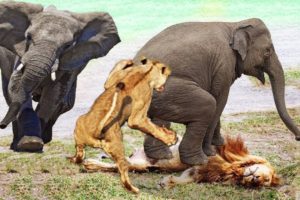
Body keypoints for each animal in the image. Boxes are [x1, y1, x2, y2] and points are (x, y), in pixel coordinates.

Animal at [0, 1, 119, 152]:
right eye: (28, 37)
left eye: (67, 45)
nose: (1, 125)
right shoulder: (20, 54)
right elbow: (15, 87)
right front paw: (29, 144)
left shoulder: (72, 60)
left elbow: (53, 95)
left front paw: (34, 143)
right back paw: (16, 143)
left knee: (65, 103)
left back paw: (45, 138)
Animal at [68, 57, 176, 193]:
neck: (147, 71)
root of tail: (96, 134)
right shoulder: (137, 118)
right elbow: (153, 129)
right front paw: (171, 138)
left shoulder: (110, 82)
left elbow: (117, 68)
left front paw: (128, 62)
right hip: (119, 149)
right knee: (124, 173)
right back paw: (134, 190)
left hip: (79, 128)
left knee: (79, 154)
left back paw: (72, 159)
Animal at [83, 136, 280, 189]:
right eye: (266, 177)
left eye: (264, 182)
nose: (255, 179)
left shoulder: (198, 171)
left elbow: (184, 178)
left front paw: (166, 182)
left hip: (139, 164)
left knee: (119, 164)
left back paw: (90, 162)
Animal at [134, 18, 300, 166]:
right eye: (267, 52)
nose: (298, 138)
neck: (234, 24)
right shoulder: (223, 65)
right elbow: (219, 100)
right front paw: (211, 151)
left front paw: (219, 143)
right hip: (167, 90)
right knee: (208, 104)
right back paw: (198, 161)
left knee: (160, 118)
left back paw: (161, 156)